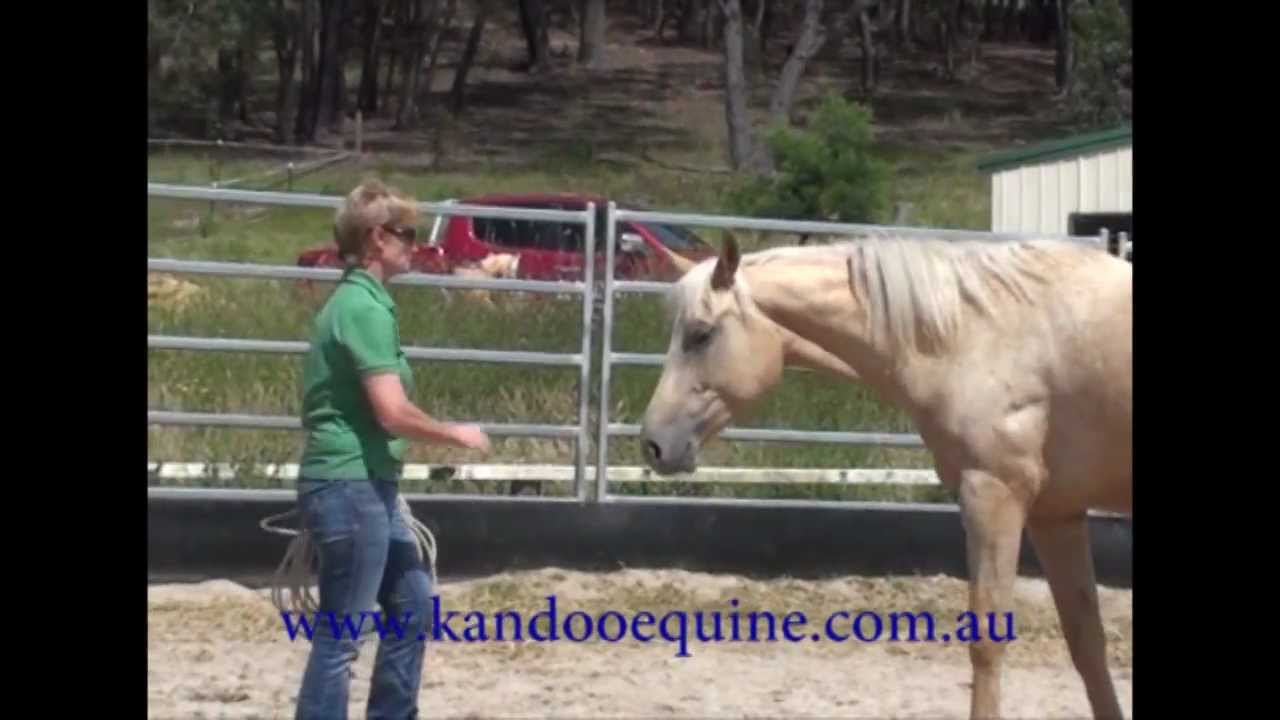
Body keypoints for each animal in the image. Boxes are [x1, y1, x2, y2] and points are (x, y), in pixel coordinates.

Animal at [640, 229, 1131, 720]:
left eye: (701, 334)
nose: (653, 444)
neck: (979, 334)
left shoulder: (993, 497)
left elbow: (987, 642)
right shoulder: (1056, 515)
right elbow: (1086, 642)